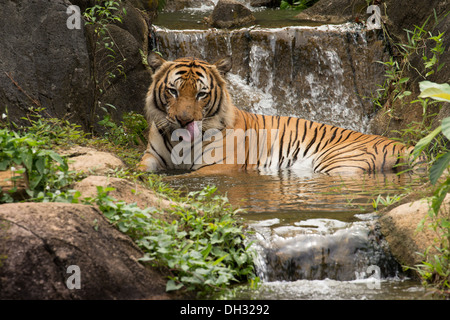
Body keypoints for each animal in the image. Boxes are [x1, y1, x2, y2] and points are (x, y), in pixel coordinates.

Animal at [138, 53, 422, 175]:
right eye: (173, 91)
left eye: (201, 94)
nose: (184, 120)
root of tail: (407, 146)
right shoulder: (152, 157)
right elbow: (140, 170)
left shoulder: (219, 166)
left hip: (338, 163)